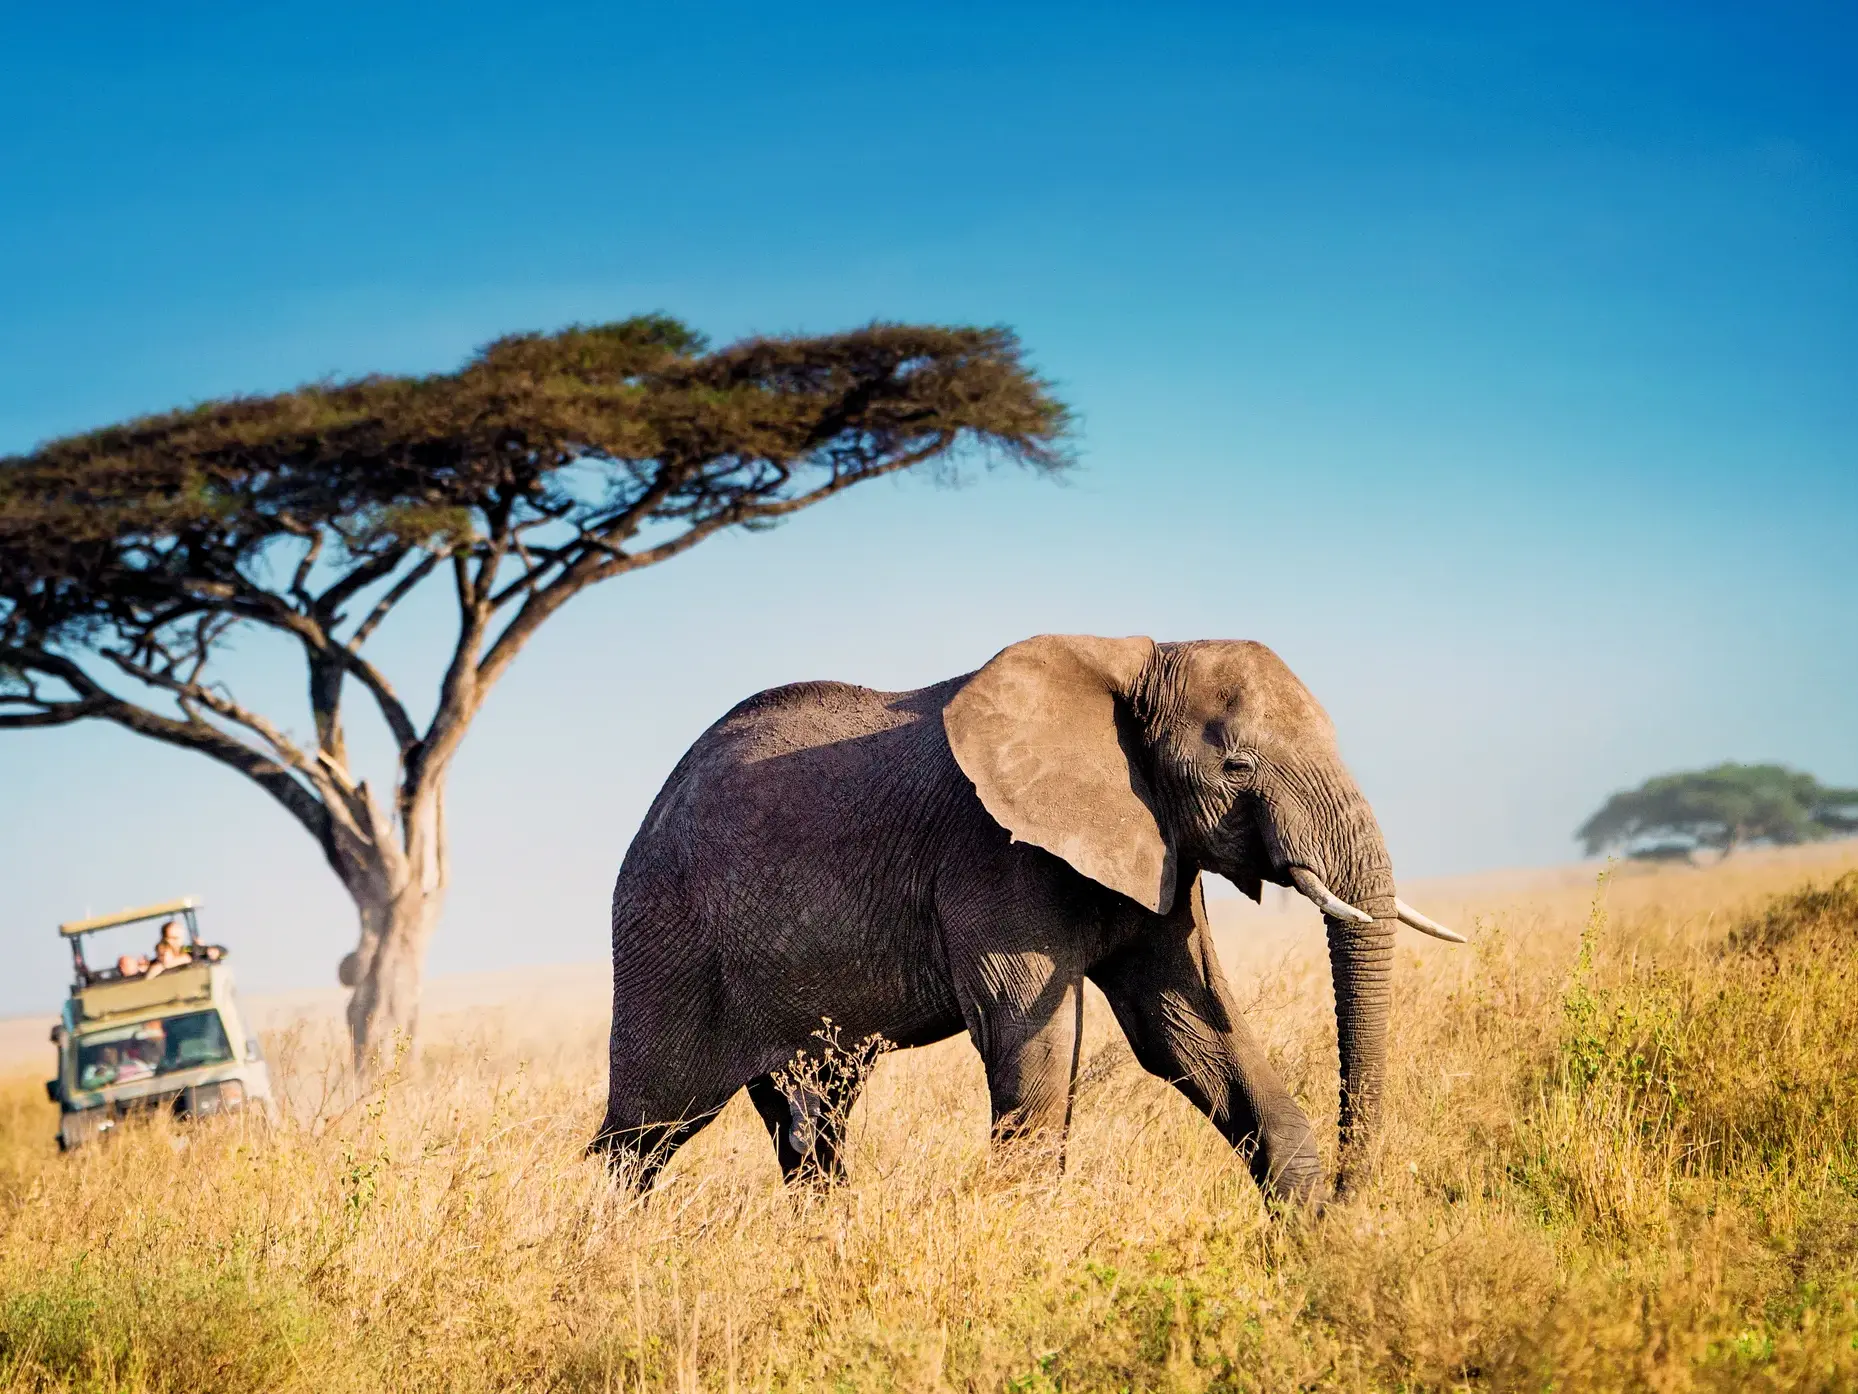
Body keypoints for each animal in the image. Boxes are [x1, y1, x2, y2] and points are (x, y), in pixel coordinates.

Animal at [592, 635, 1462, 1203]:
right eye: (1237, 765)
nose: (1355, 1195)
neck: (1132, 659)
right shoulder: (992, 858)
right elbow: (1028, 1043)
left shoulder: (1156, 850)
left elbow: (1189, 1031)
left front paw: (1313, 1247)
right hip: (664, 936)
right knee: (646, 1129)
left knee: (812, 1126)